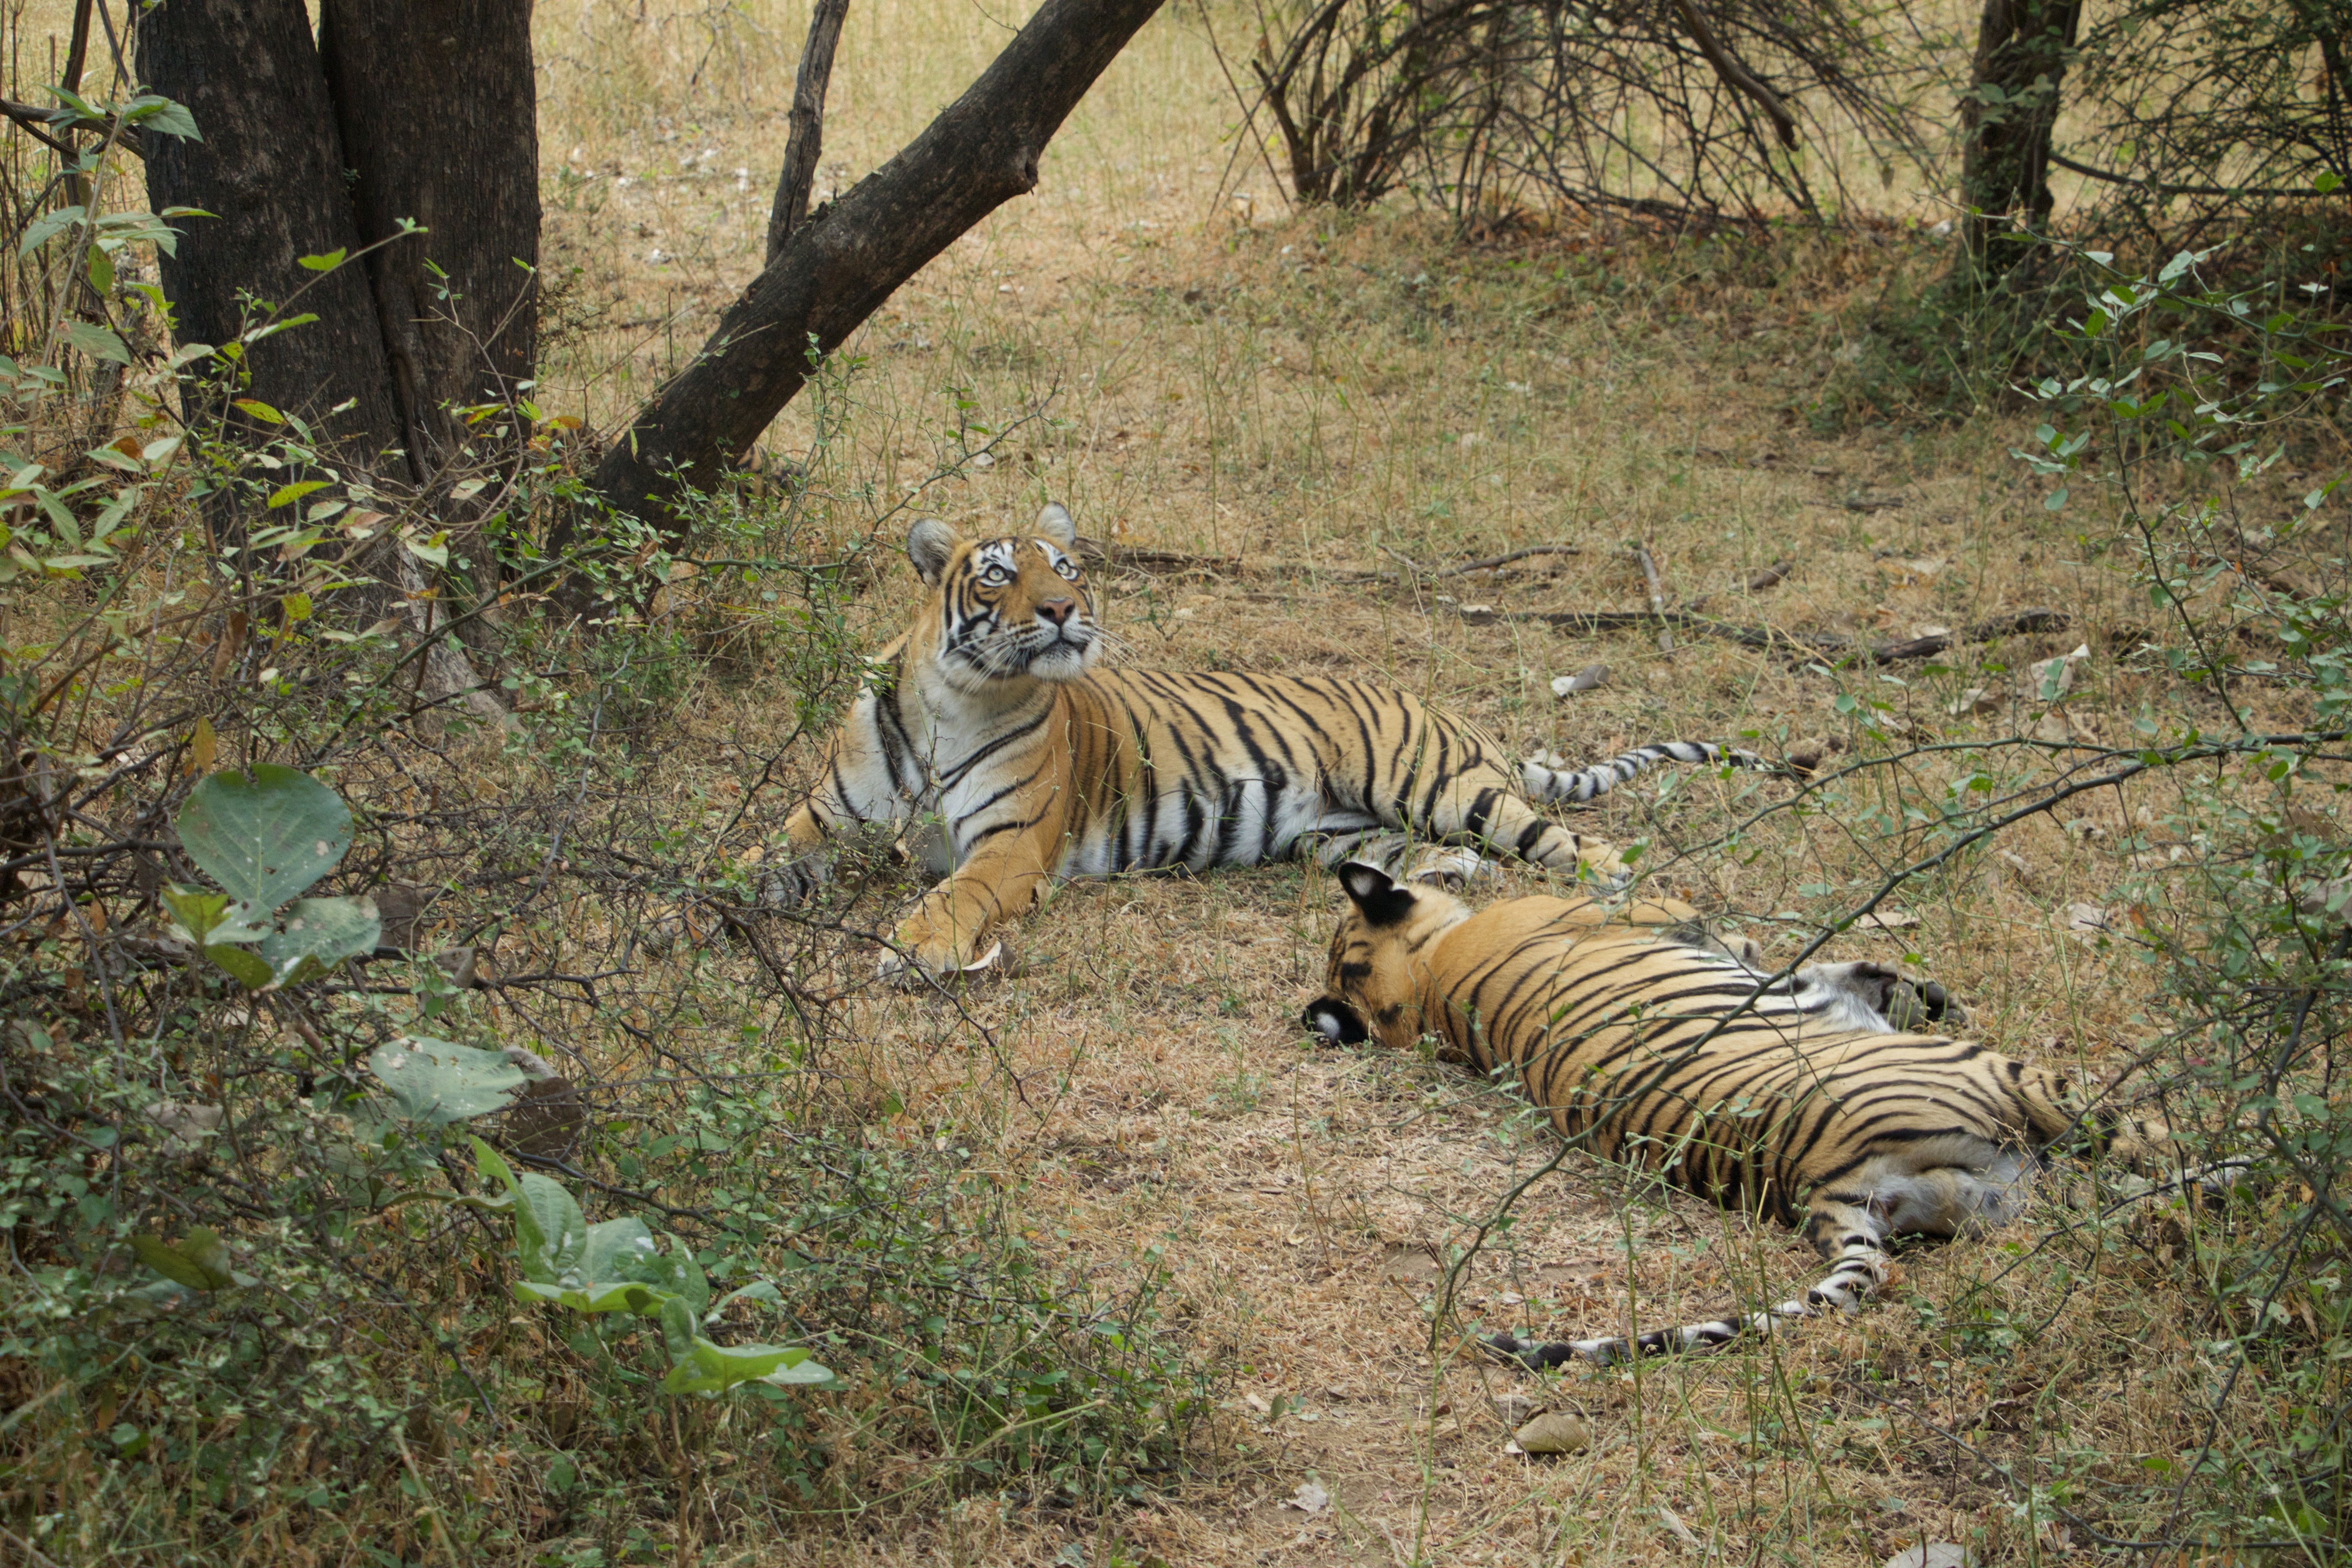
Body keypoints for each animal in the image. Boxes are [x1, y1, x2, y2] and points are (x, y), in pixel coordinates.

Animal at [771, 503, 1768, 973]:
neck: (954, 700)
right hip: (1344, 835)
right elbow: (754, 863)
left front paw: (917, 948)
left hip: (1447, 788)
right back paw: (1447, 881)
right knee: (1441, 865)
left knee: (1583, 850)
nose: (1062, 612)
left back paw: (1664, 903)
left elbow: (954, 897)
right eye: (997, 578)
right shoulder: (820, 819)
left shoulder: (1010, 846)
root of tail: (1448, 710)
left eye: (1065, 570)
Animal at [1308, 865, 2220, 1363]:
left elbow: (1835, 967)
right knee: (2156, 1148)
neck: (1422, 985)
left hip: (2010, 1188)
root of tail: (1820, 1182)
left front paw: (1905, 983)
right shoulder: (1666, 913)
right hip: (2018, 1082)